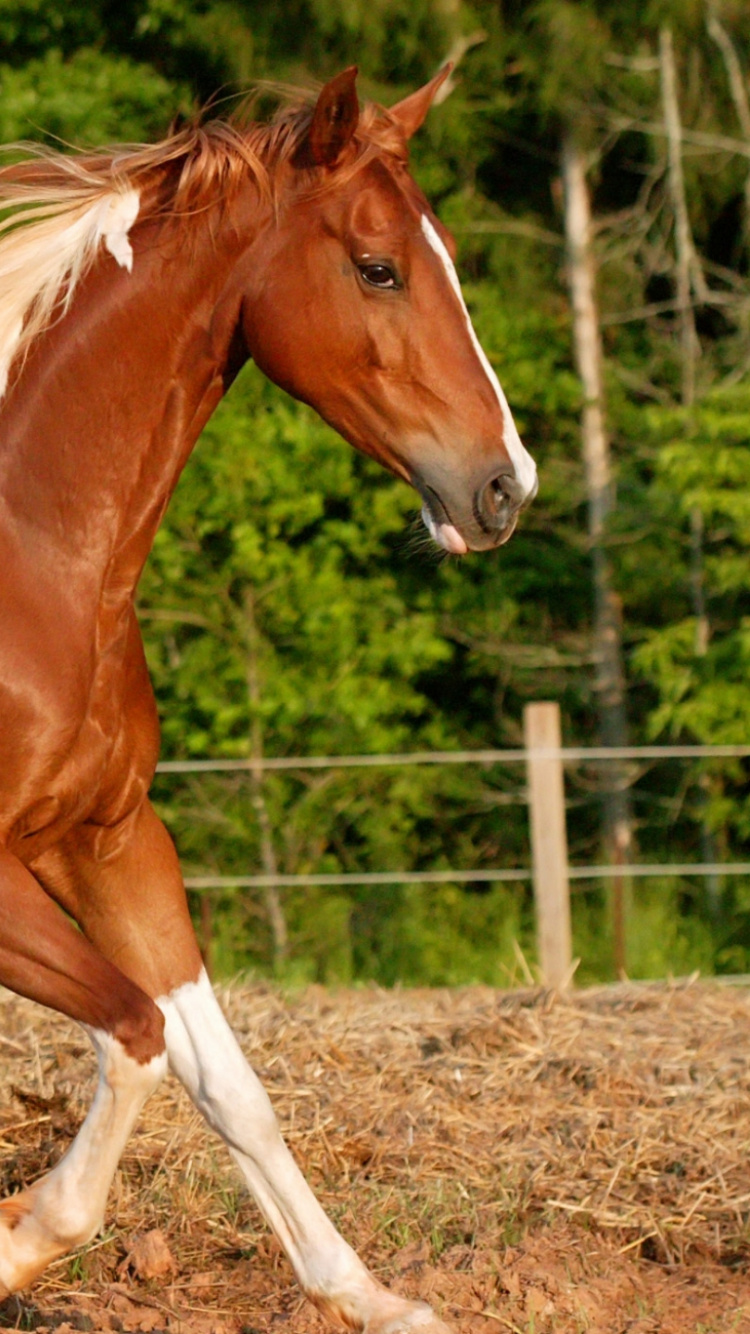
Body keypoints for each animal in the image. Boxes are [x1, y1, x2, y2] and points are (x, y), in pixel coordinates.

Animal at [0, 67, 536, 1334]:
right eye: (378, 266)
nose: (506, 487)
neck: (37, 560)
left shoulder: (110, 840)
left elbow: (222, 1077)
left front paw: (372, 1296)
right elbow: (137, 1038)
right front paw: (14, 1243)